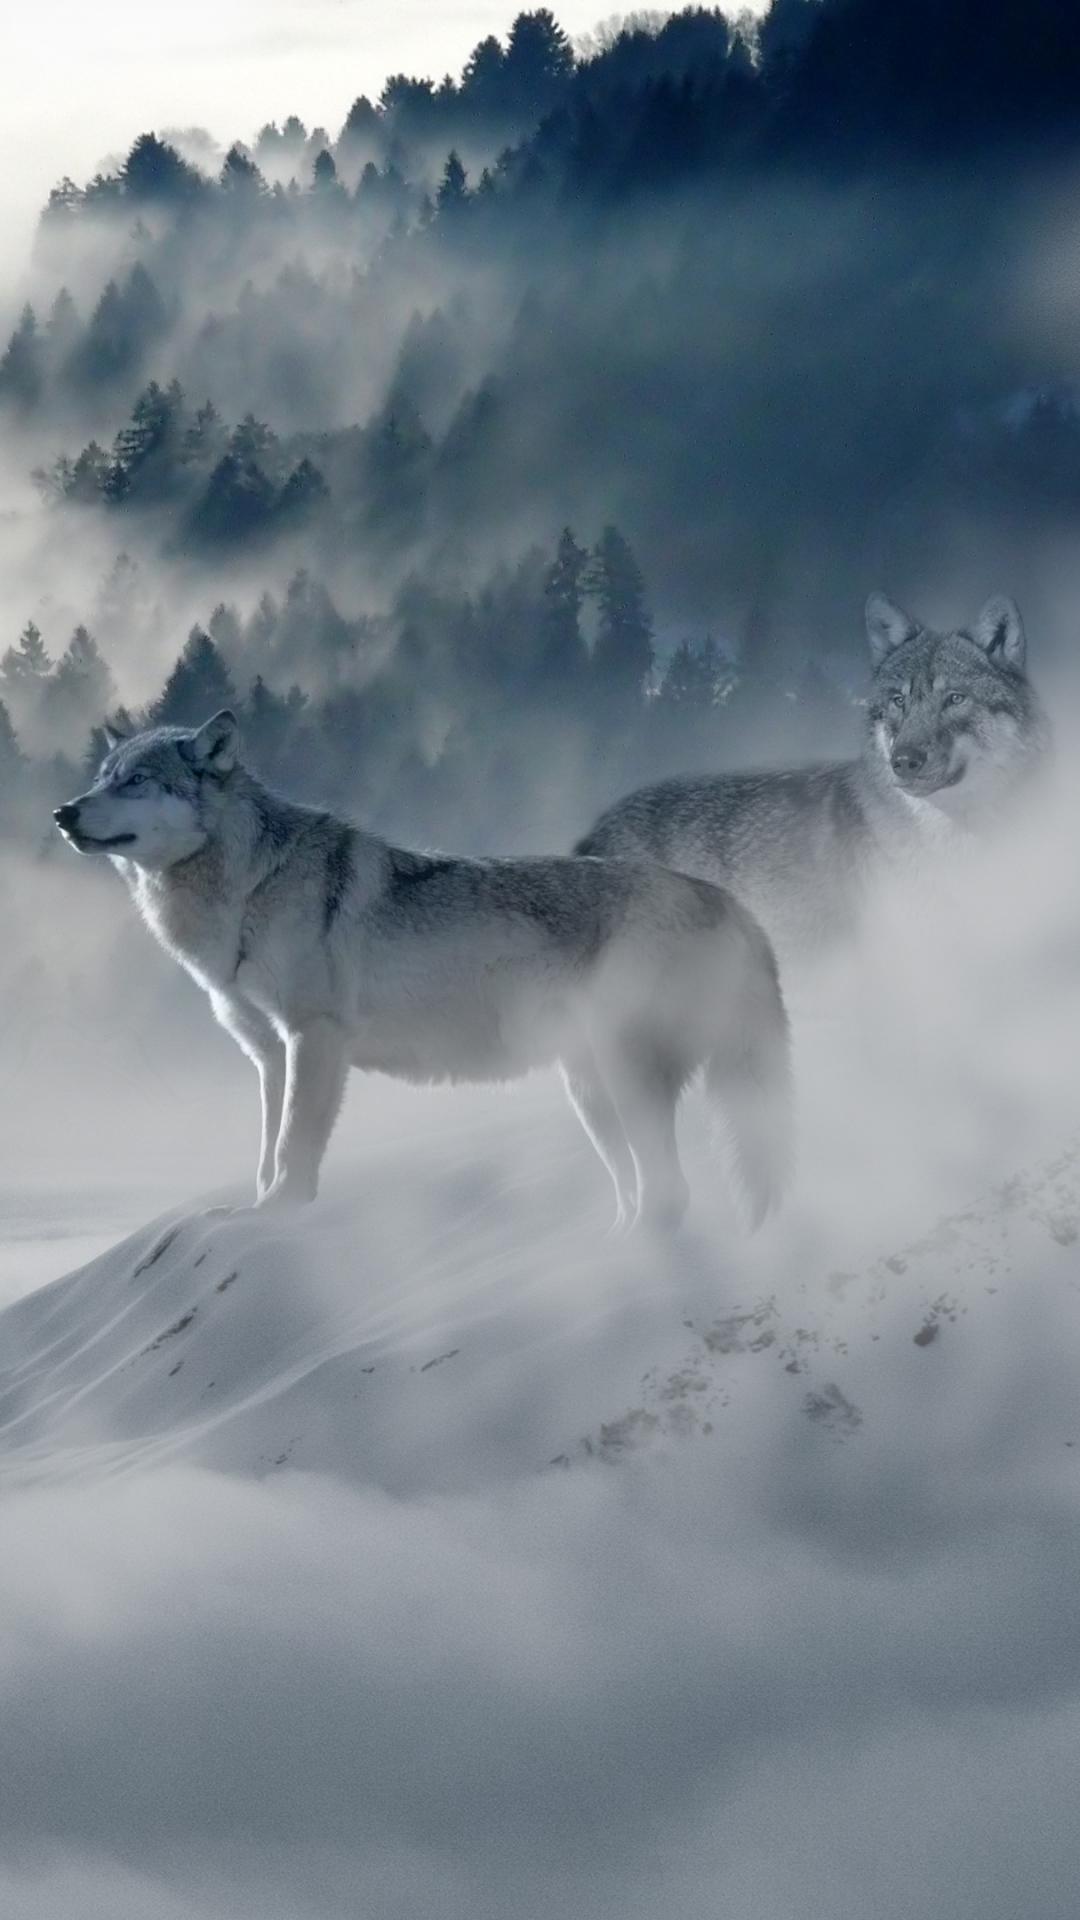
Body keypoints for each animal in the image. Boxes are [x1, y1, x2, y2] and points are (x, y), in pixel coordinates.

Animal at [53, 710, 792, 1230]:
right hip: (590, 1094)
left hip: (623, 1077)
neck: (247, 888)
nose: (62, 812)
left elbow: (292, 1150)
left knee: (671, 1193)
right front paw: (251, 1212)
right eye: (102, 777)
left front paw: (280, 1215)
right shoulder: (269, 1054)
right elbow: (264, 1153)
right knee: (643, 1192)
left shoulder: (315, 1039)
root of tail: (730, 902)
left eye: (136, 780)